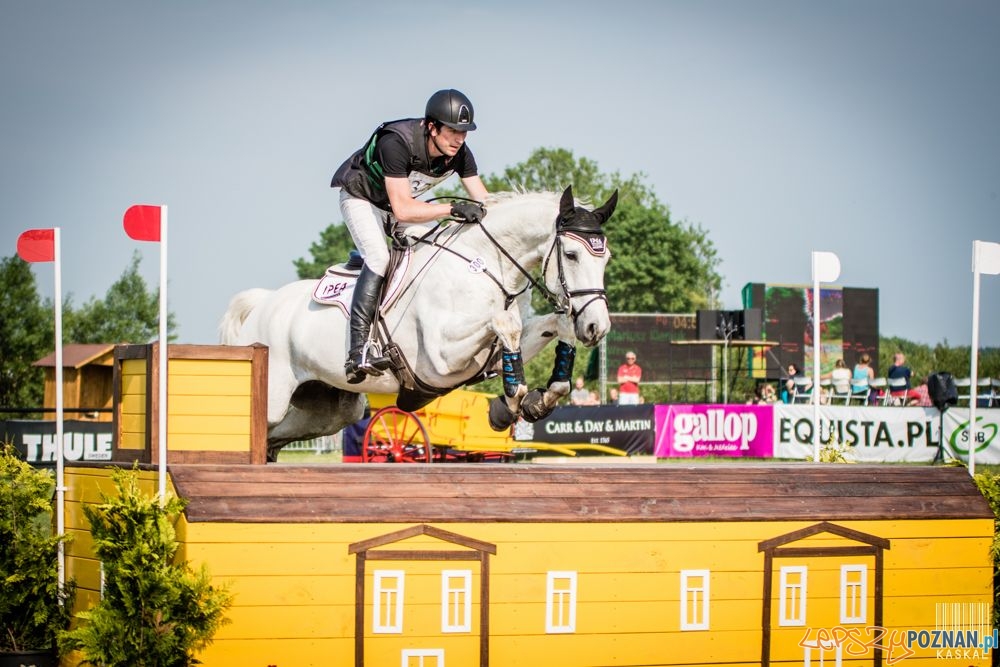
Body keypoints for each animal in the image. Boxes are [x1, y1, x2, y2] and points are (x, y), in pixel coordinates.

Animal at [219, 185, 616, 462]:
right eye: (571, 254)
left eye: (606, 257)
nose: (597, 328)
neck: (485, 264)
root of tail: (262, 304)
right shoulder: (441, 359)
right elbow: (507, 323)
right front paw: (515, 398)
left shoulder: (485, 354)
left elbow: (552, 328)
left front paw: (538, 398)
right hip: (274, 396)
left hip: (329, 412)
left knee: (273, 440)